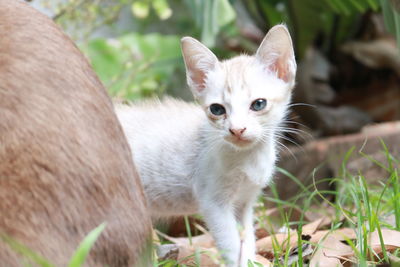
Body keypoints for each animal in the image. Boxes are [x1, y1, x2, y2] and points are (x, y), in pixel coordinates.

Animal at [116, 25, 296, 267]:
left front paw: (249, 259)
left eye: (258, 104)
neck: (248, 158)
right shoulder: (214, 203)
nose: (237, 129)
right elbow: (231, 243)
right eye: (217, 109)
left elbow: (246, 240)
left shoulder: (244, 203)